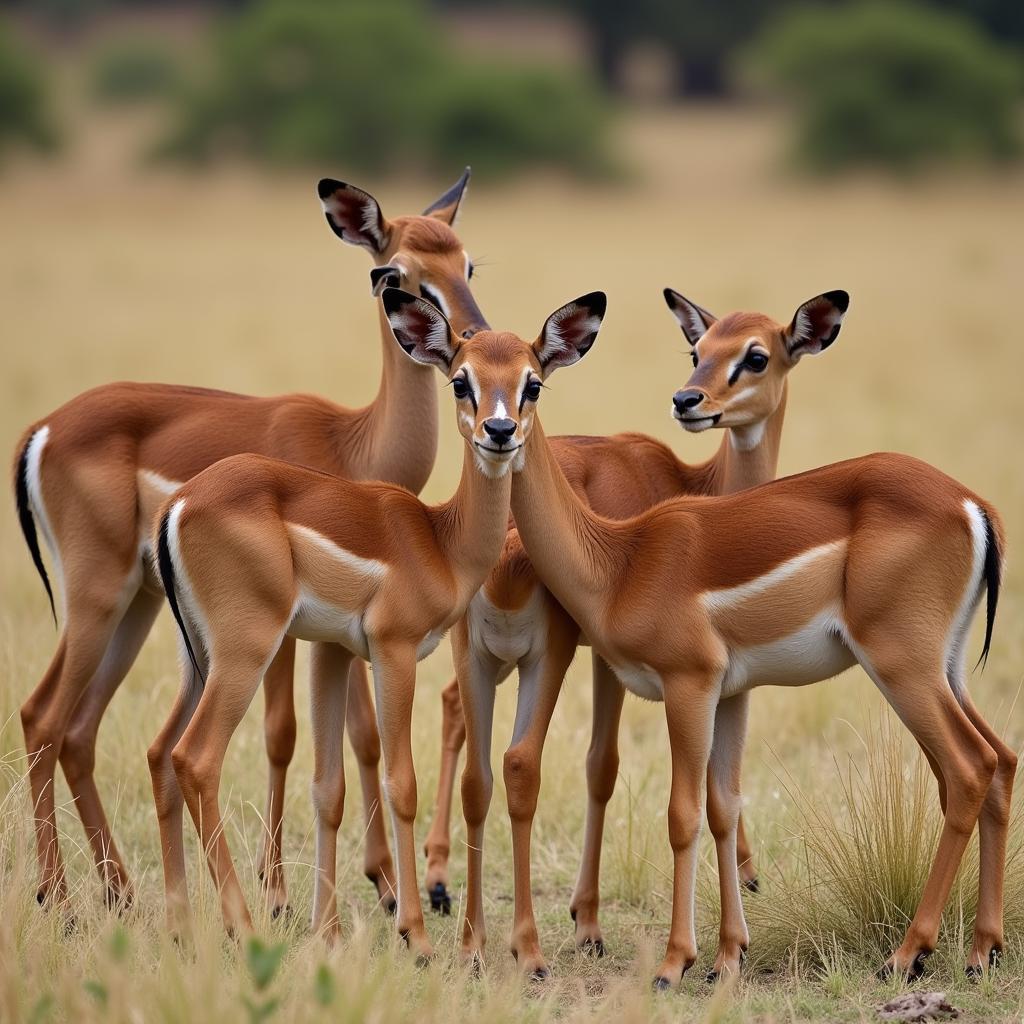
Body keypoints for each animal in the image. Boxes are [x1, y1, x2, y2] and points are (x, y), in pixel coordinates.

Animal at [11, 172, 483, 917]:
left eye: (467, 265)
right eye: (395, 273)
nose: (469, 337)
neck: (353, 445)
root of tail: (43, 429)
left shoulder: (342, 634)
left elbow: (361, 738)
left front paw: (380, 883)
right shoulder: (302, 633)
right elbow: (284, 735)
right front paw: (282, 892)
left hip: (139, 607)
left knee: (80, 730)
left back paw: (120, 891)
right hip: (100, 600)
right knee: (42, 716)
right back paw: (57, 895)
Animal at [149, 282, 598, 950]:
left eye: (532, 382)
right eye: (461, 380)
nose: (498, 431)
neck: (439, 540)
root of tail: (179, 505)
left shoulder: (331, 651)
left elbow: (326, 786)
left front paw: (329, 933)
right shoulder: (393, 651)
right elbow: (400, 781)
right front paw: (414, 932)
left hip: (197, 657)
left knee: (159, 753)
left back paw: (179, 926)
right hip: (244, 653)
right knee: (194, 759)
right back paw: (243, 925)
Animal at [436, 290, 843, 974]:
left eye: (755, 354)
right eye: (698, 349)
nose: (689, 400)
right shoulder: (618, 662)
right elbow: (610, 768)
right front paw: (592, 921)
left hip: (478, 654)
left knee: (462, 739)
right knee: (516, 760)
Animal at [499, 292, 1011, 987]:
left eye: (756, 355)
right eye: (697, 348)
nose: (497, 434)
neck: (622, 560)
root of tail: (970, 505)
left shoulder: (690, 686)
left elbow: (684, 813)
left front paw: (676, 963)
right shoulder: (730, 692)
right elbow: (725, 805)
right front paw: (726, 956)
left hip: (904, 670)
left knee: (970, 768)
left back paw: (908, 954)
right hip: (945, 671)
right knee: (1000, 762)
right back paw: (982, 949)